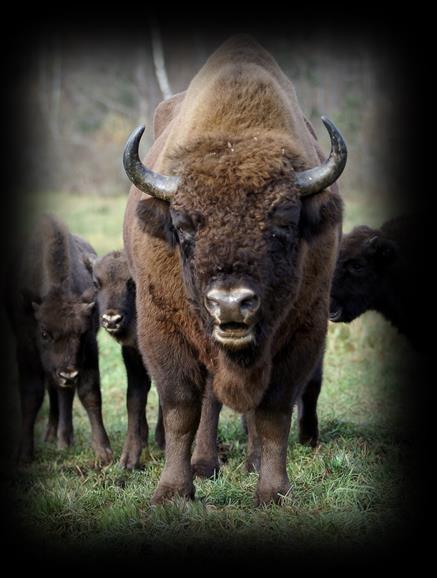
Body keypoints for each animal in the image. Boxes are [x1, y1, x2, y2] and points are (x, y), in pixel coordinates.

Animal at [5, 214, 111, 462]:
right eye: (44, 333)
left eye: (81, 333)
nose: (68, 374)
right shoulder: (27, 347)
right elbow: (32, 394)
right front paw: (24, 453)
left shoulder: (89, 348)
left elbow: (90, 393)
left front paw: (103, 451)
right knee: (53, 386)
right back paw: (53, 435)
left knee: (63, 391)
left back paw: (64, 439)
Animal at [85, 249, 165, 468]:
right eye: (96, 283)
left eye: (131, 283)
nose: (112, 319)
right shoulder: (133, 356)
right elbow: (135, 400)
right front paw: (129, 459)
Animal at [121, 37, 346, 504]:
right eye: (183, 225)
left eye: (283, 222)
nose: (230, 304)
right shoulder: (162, 328)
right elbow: (182, 407)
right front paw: (173, 491)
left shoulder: (303, 332)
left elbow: (273, 412)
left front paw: (273, 492)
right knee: (209, 399)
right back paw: (205, 463)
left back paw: (251, 462)